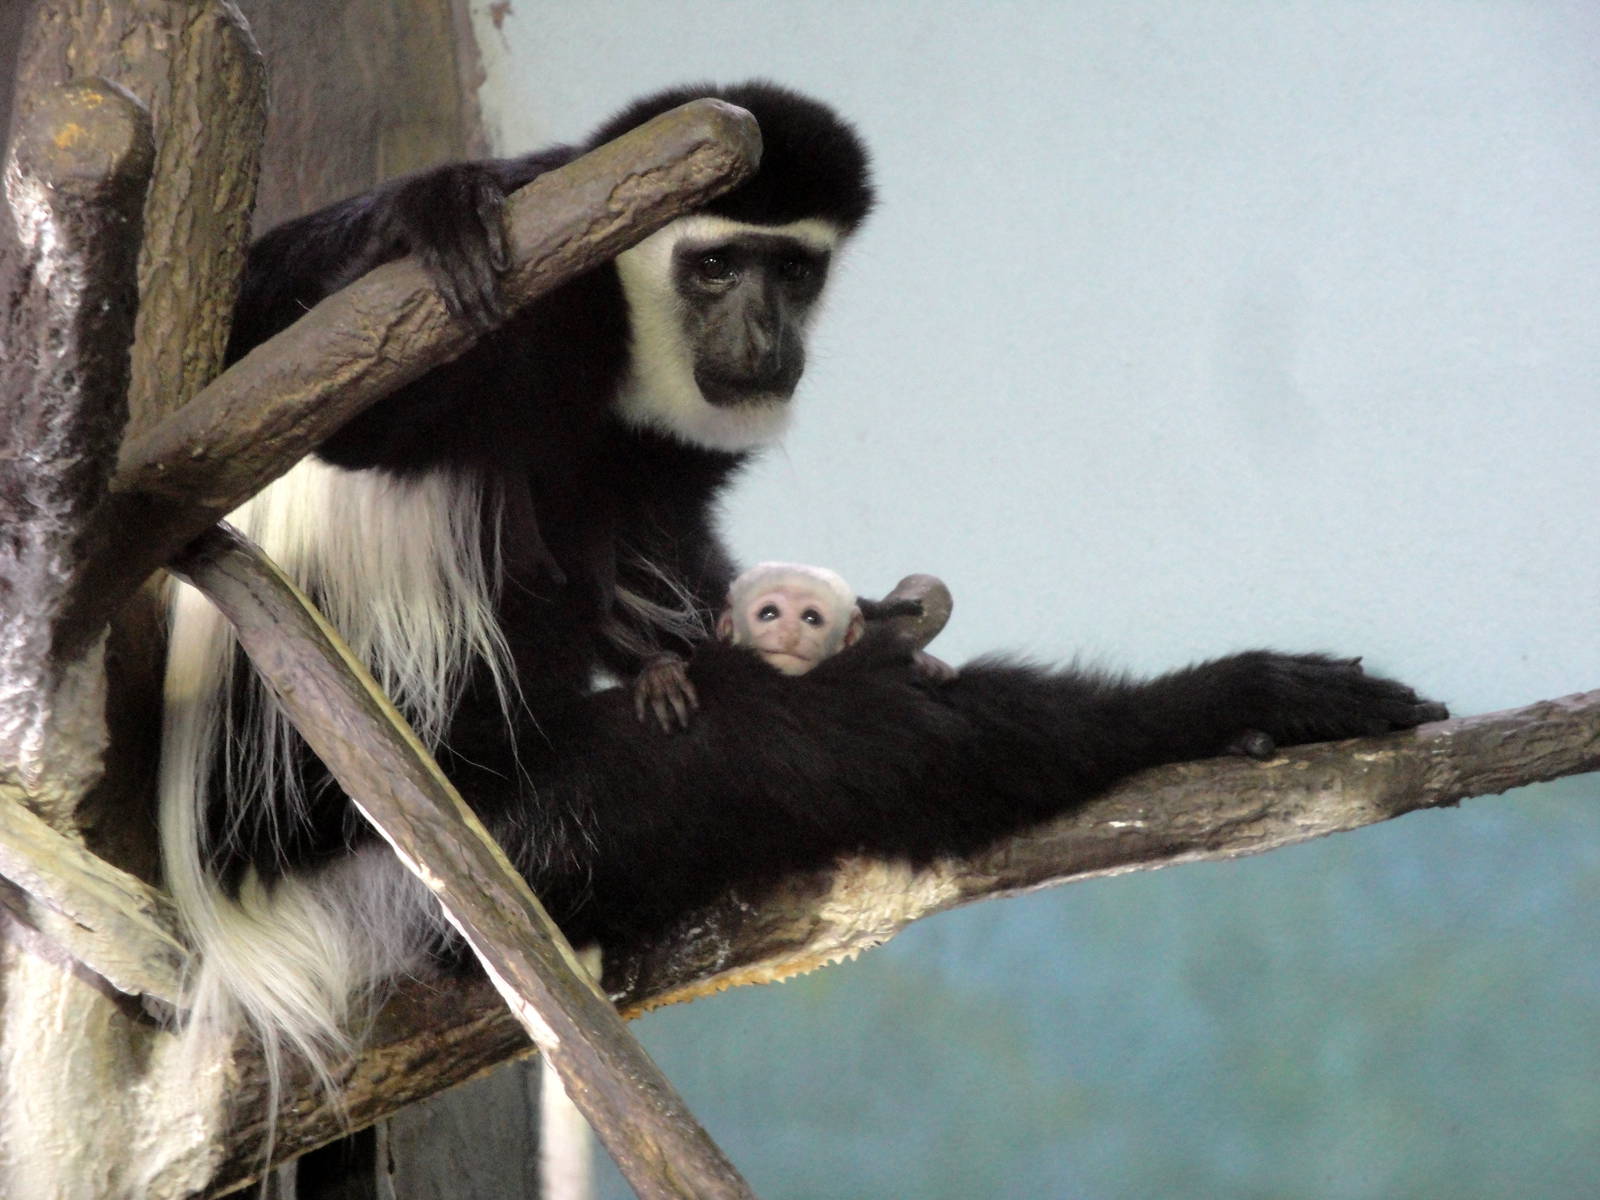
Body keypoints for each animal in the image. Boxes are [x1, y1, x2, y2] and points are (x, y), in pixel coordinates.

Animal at [157, 80, 1447, 1099]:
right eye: (714, 264)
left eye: (792, 267)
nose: (762, 331)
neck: (618, 334)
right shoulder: (537, 314)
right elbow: (305, 393)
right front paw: (439, 209)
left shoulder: (661, 439)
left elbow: (663, 532)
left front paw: (846, 627)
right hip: (460, 855)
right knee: (775, 752)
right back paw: (1214, 706)